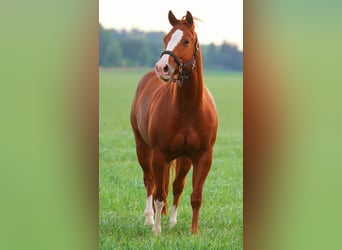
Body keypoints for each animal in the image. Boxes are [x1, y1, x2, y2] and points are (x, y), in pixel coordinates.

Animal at [130, 10, 218, 234]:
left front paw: (193, 232)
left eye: (186, 41)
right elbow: (159, 194)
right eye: (165, 38)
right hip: (143, 148)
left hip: (183, 158)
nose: (162, 68)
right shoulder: (159, 154)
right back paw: (150, 218)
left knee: (177, 186)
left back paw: (171, 221)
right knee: (150, 182)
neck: (189, 108)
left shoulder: (203, 156)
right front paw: (156, 231)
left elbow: (195, 196)